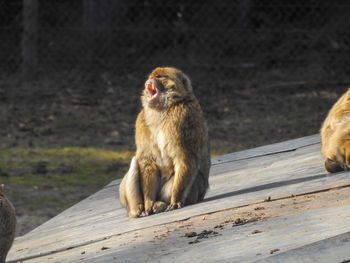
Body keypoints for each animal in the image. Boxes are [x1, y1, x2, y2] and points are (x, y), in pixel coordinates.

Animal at [119, 66, 211, 219]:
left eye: (160, 77)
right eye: (151, 76)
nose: (149, 80)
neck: (164, 108)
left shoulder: (183, 116)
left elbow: (185, 157)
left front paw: (176, 199)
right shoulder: (141, 120)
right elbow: (148, 160)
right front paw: (148, 202)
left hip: (195, 193)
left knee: (195, 174)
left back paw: (161, 203)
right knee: (135, 162)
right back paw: (137, 209)